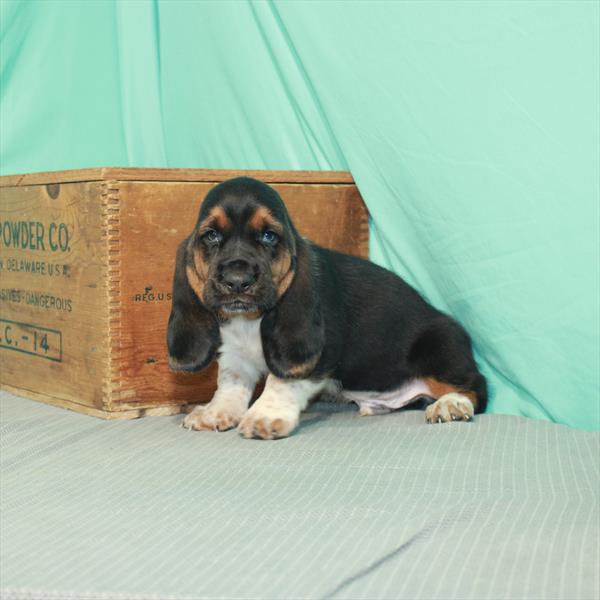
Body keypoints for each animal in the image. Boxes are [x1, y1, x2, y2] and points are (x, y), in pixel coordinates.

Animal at [166, 176, 486, 438]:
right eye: (211, 235)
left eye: (269, 236)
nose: (237, 280)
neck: (250, 321)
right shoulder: (234, 353)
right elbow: (230, 384)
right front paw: (215, 412)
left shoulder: (320, 352)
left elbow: (282, 381)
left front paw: (265, 416)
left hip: (441, 343)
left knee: (476, 386)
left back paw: (451, 404)